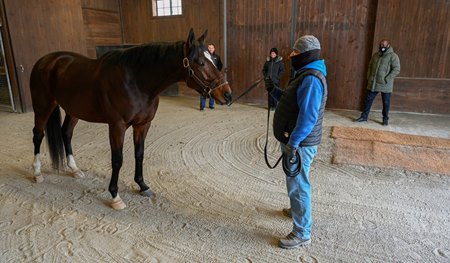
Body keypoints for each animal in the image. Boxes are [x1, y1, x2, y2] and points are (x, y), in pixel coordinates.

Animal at [29, 28, 232, 210]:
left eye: (214, 59)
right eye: (200, 62)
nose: (227, 95)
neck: (136, 81)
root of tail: (45, 61)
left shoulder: (143, 125)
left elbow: (139, 154)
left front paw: (142, 186)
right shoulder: (116, 126)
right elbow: (117, 159)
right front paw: (115, 196)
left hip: (73, 111)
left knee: (66, 133)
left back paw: (74, 169)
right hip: (43, 107)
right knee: (38, 135)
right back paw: (37, 172)